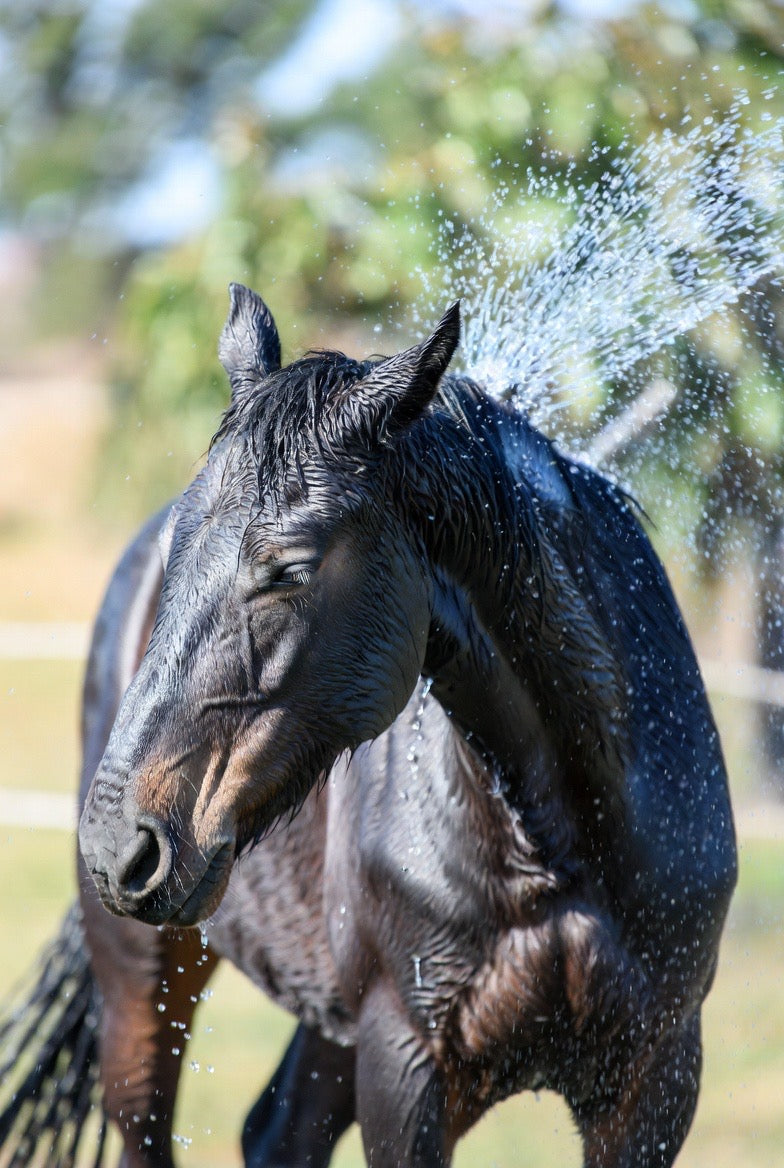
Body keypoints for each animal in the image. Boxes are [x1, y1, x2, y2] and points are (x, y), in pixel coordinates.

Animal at [4, 283, 736, 1166]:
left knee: (278, 1131)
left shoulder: (654, 1084)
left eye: (288, 567)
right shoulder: (405, 1066)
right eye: (182, 545)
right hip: (144, 985)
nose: (120, 848)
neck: (563, 845)